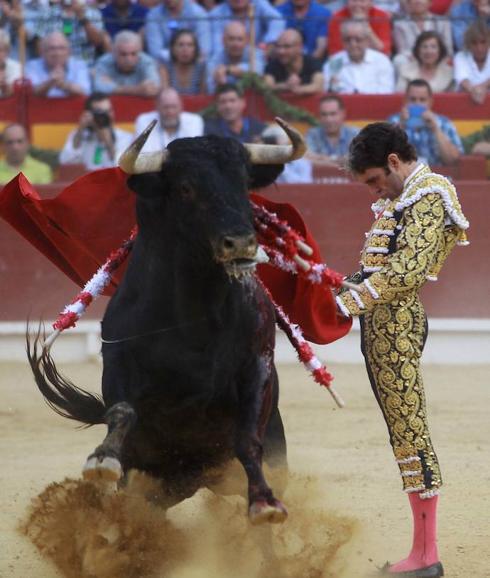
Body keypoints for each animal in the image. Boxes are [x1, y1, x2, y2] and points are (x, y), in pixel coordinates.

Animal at [27, 134, 290, 520]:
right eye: (185, 187)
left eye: (244, 183)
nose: (240, 242)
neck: (195, 312)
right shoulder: (118, 360)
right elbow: (122, 411)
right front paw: (102, 459)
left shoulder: (258, 364)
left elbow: (246, 438)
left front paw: (264, 501)